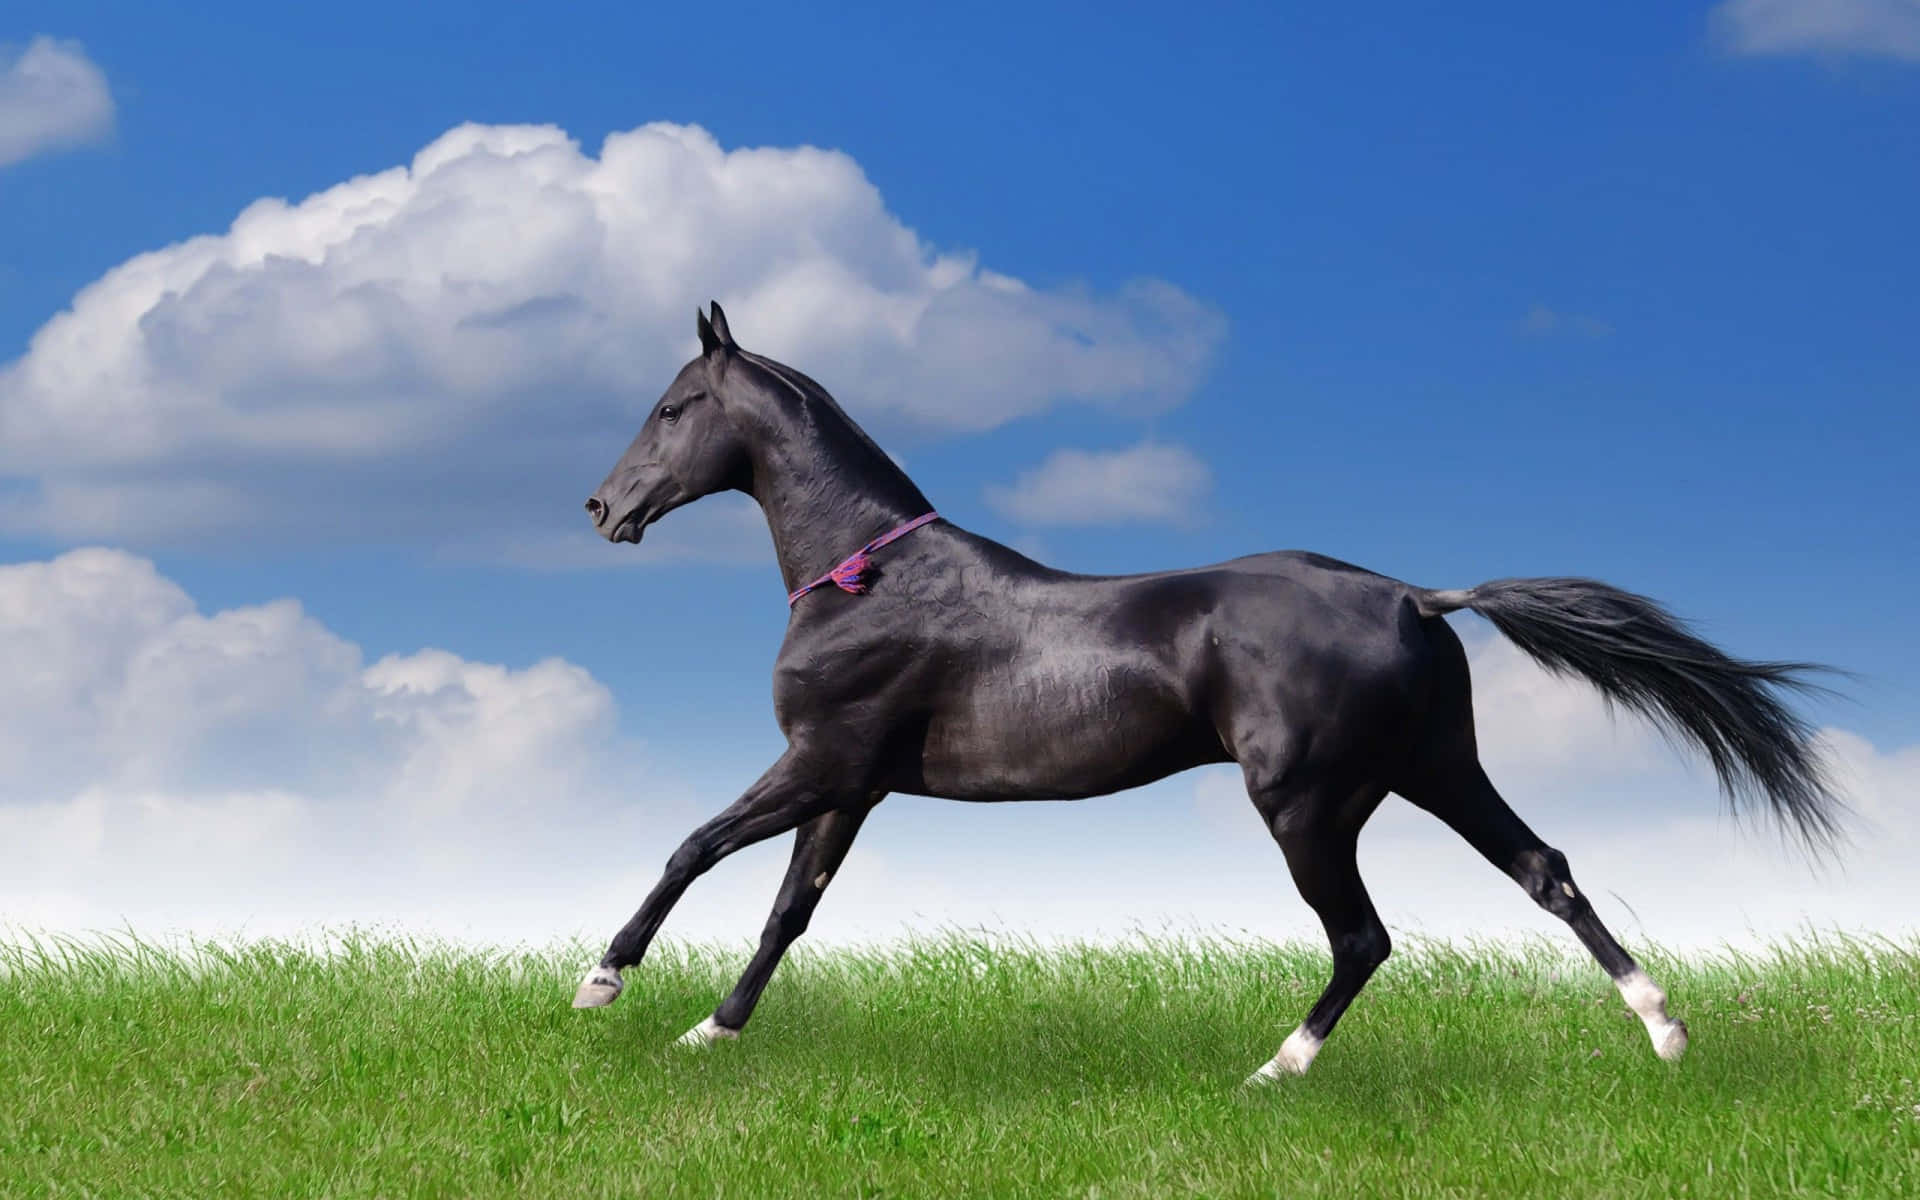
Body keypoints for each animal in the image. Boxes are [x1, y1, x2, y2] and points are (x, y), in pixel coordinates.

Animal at [572, 302, 1842, 1083]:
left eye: (674, 408)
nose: (602, 507)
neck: (868, 576)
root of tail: (1417, 599)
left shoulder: (821, 761)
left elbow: (694, 848)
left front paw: (603, 982)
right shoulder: (852, 785)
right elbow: (790, 911)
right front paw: (709, 1032)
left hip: (1308, 803)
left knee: (1365, 937)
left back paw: (1275, 1071)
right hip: (1437, 771)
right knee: (1547, 872)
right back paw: (1665, 1029)